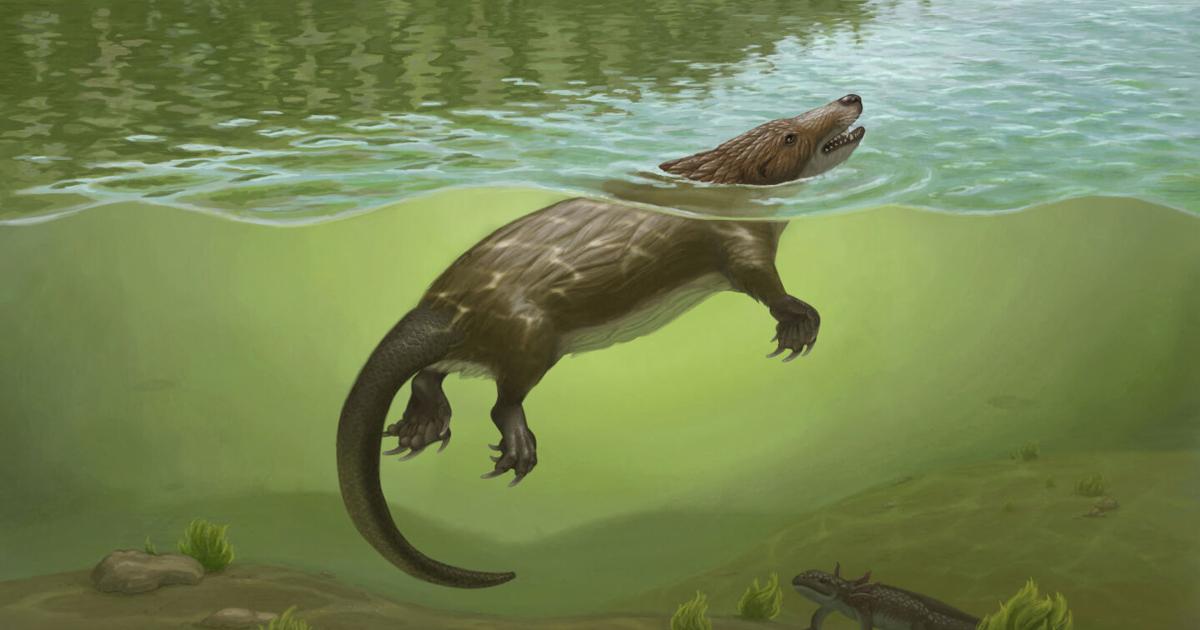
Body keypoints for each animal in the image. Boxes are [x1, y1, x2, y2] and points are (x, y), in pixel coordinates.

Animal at [337, 94, 866, 589]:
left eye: (794, 118)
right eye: (791, 136)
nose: (850, 99)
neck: (718, 183)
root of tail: (443, 310)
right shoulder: (736, 238)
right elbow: (764, 283)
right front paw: (799, 324)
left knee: (432, 373)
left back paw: (419, 427)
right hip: (530, 337)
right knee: (501, 399)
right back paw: (516, 448)